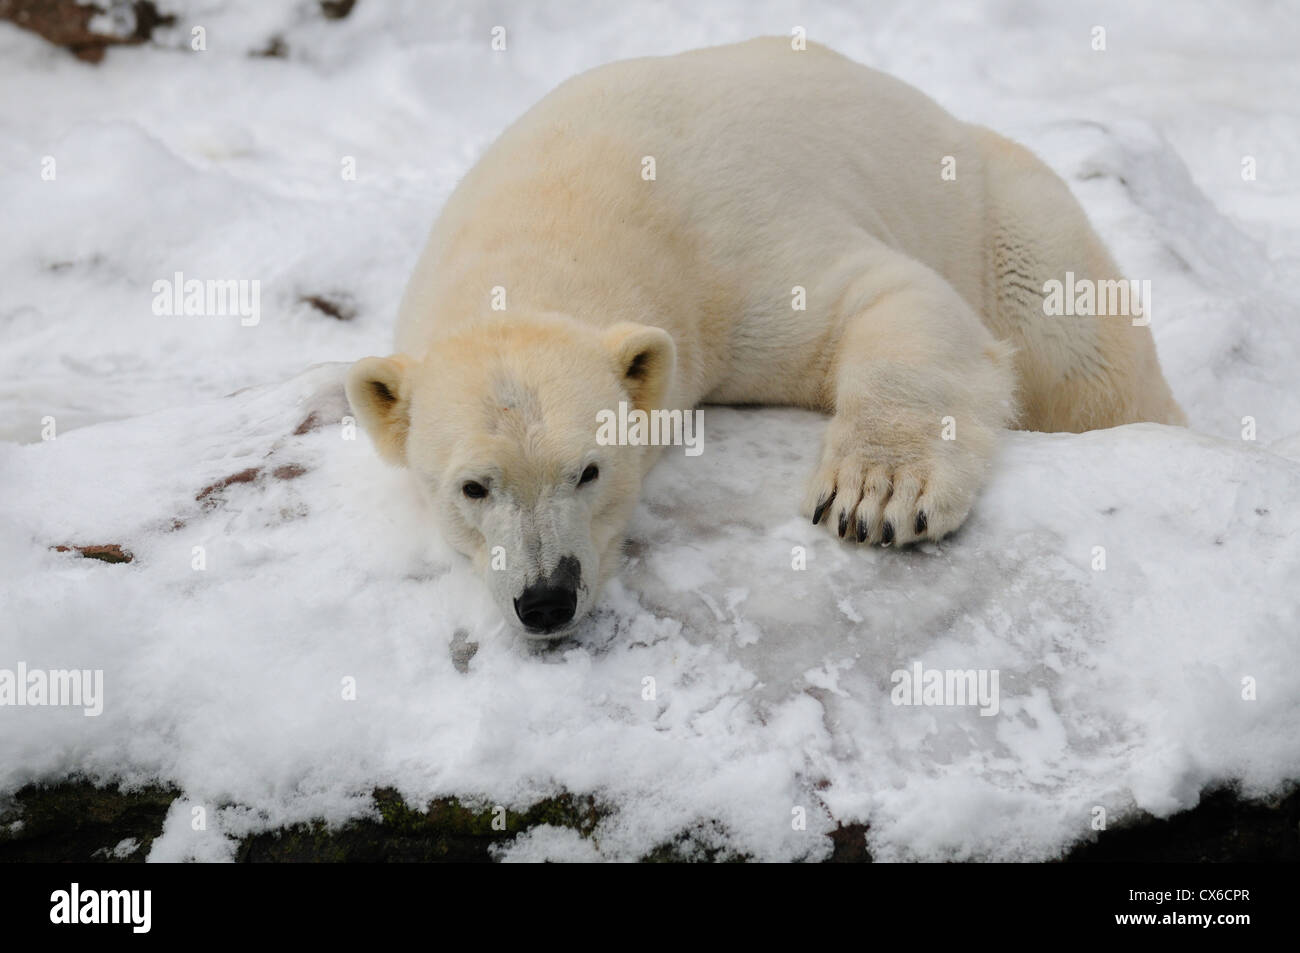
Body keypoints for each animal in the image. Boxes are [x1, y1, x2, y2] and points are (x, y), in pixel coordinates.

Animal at [345, 37, 1190, 634]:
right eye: (472, 486)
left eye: (589, 469)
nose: (547, 598)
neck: (558, 208)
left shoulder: (724, 251)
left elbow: (891, 294)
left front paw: (875, 496)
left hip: (1003, 209)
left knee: (1081, 350)